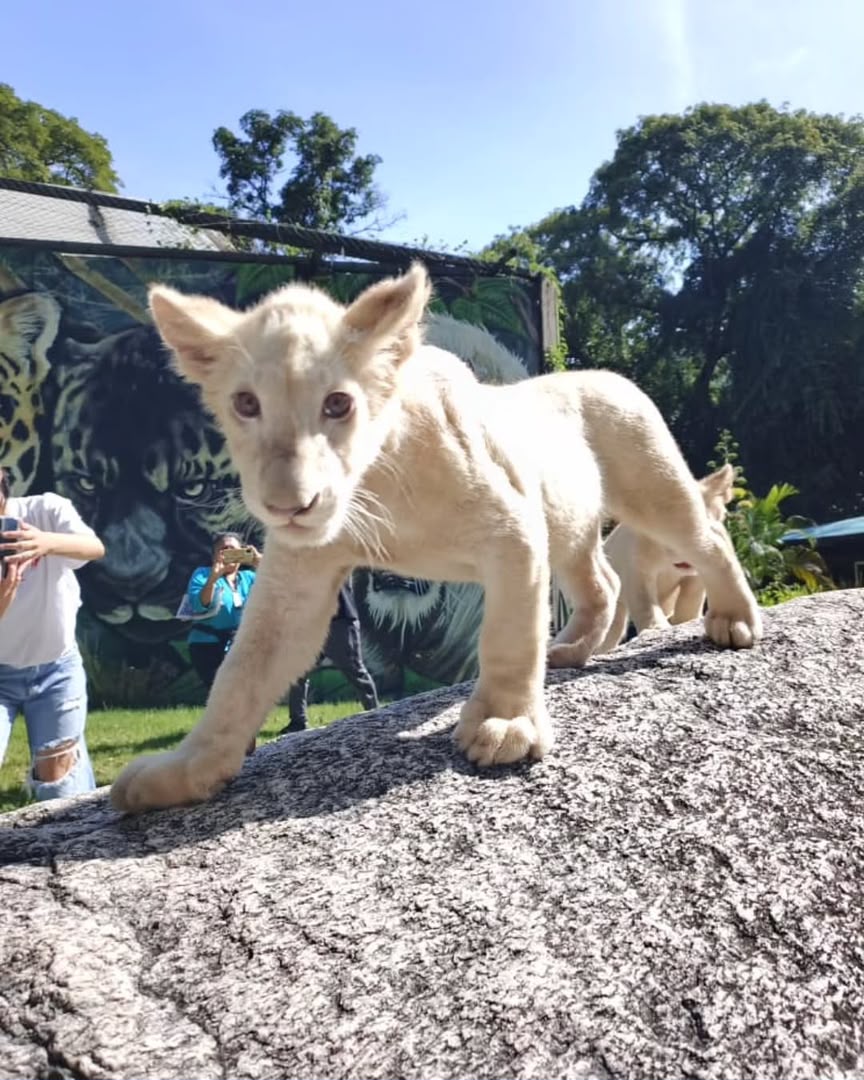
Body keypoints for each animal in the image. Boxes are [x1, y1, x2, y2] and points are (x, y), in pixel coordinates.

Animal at [596, 464, 736, 653]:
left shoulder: (697, 576)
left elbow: (689, 603)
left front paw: (682, 622)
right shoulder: (637, 572)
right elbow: (646, 604)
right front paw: (656, 628)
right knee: (611, 632)